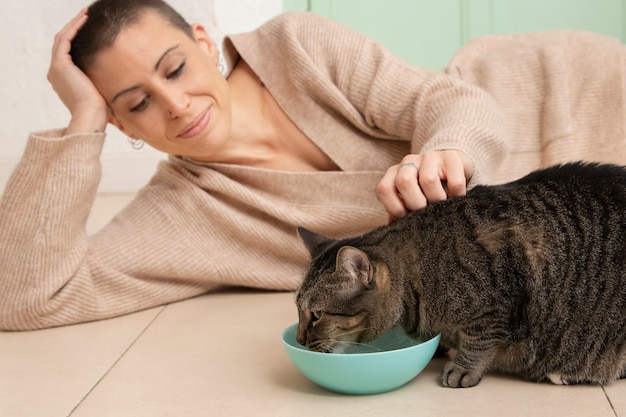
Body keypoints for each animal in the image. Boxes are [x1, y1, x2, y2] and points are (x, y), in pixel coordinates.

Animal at [294, 162, 624, 386]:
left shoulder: (494, 309)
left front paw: (463, 367)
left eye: (317, 314)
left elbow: (479, 342)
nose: (298, 339)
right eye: (298, 310)